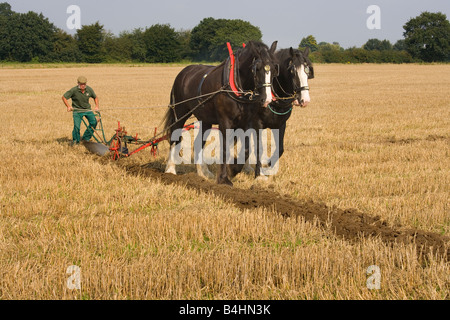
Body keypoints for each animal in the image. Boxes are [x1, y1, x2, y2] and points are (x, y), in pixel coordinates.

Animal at [163, 40, 280, 185]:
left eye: (274, 70)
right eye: (256, 69)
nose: (267, 99)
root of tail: (183, 72)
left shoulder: (247, 121)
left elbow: (247, 148)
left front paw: (234, 169)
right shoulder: (225, 121)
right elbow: (225, 148)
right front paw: (224, 178)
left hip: (205, 119)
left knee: (198, 142)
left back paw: (203, 172)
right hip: (179, 113)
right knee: (174, 137)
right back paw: (170, 169)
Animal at [230, 46, 314, 179]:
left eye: (307, 71)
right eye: (292, 71)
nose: (305, 100)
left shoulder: (281, 124)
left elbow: (280, 149)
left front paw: (268, 166)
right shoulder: (257, 124)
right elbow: (258, 148)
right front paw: (258, 174)